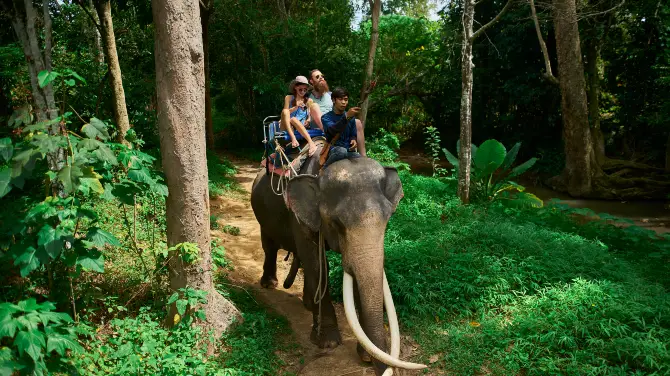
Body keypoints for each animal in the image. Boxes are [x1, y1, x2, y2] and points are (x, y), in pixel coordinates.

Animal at [249, 151, 428, 376]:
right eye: (337, 223)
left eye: (388, 219)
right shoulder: (298, 217)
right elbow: (316, 263)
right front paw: (327, 343)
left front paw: (366, 355)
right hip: (262, 215)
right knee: (270, 246)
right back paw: (269, 284)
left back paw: (308, 305)